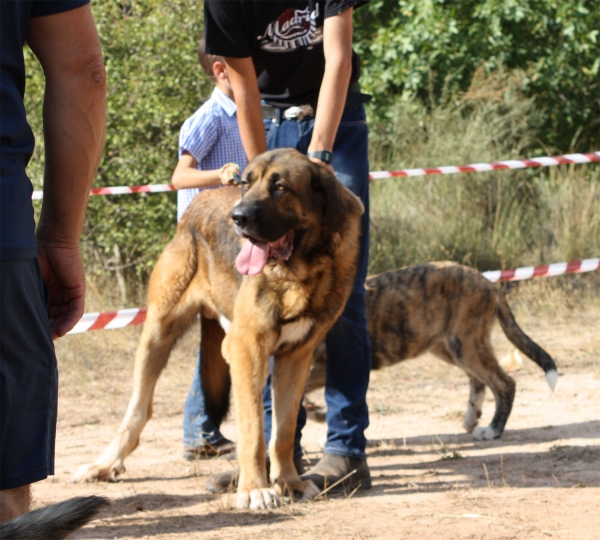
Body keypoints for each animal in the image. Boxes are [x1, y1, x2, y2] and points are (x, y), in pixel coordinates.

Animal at [72, 149, 364, 510]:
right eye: (246, 184)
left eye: (280, 187)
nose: (238, 217)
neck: (299, 273)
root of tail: (198, 203)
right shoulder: (248, 350)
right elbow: (254, 431)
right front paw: (255, 489)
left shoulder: (295, 357)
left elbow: (282, 433)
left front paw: (290, 483)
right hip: (158, 332)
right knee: (138, 410)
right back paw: (103, 464)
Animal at [304, 264, 556, 440]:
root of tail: (487, 282)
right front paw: (316, 413)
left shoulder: (325, 366)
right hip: (450, 348)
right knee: (478, 381)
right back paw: (472, 418)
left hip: (465, 346)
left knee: (504, 383)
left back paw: (493, 430)